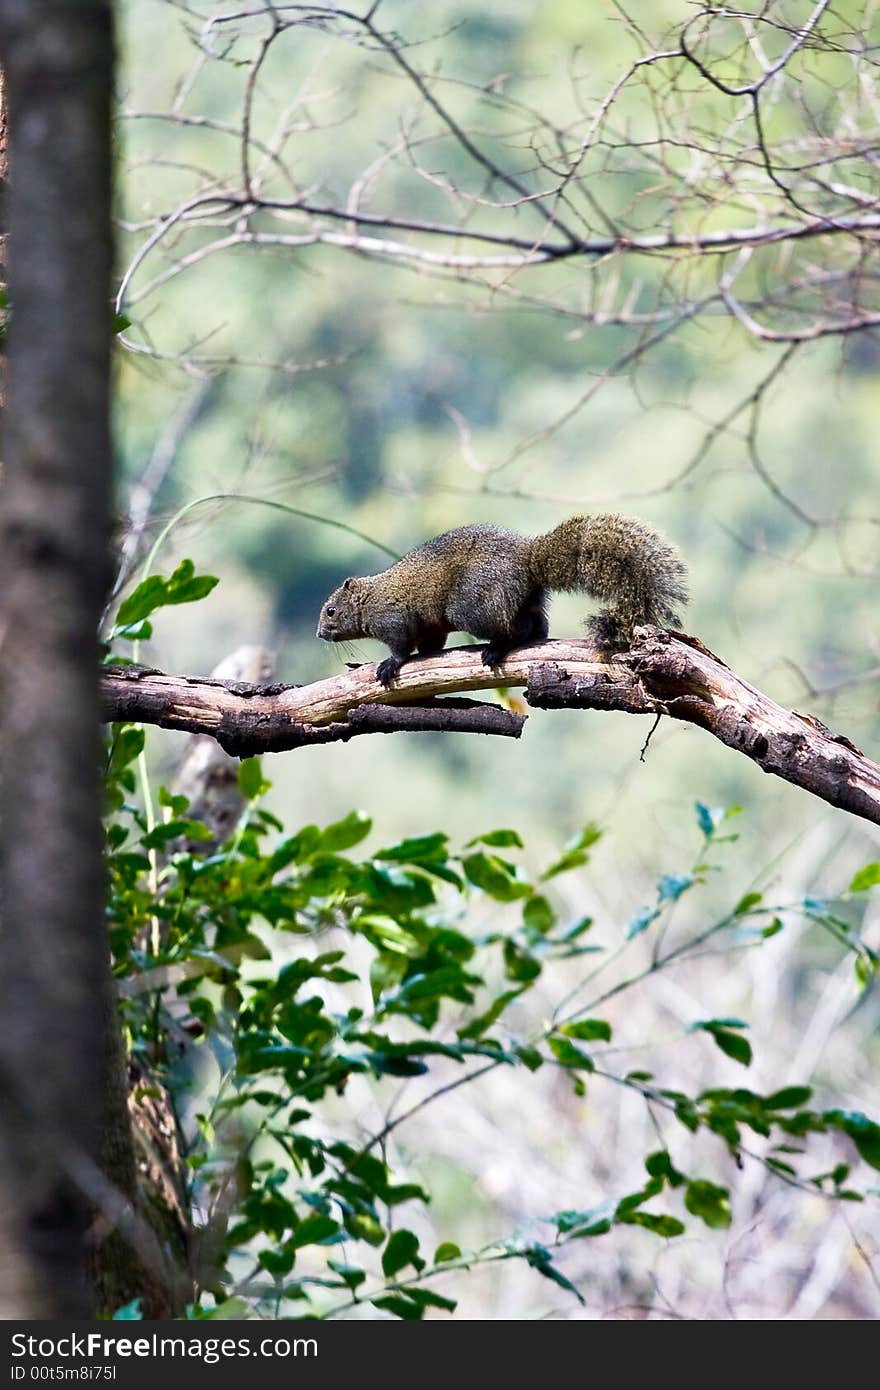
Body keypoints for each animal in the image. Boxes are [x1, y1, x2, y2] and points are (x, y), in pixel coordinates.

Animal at [315, 514, 686, 686]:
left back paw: (497, 648)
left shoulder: (394, 621)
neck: (370, 599)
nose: (319, 634)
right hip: (523, 601)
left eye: (331, 611)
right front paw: (426, 656)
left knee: (514, 630)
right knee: (537, 625)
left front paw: (389, 665)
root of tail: (529, 560)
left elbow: (401, 648)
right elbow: (430, 644)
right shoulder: (430, 627)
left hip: (472, 606)